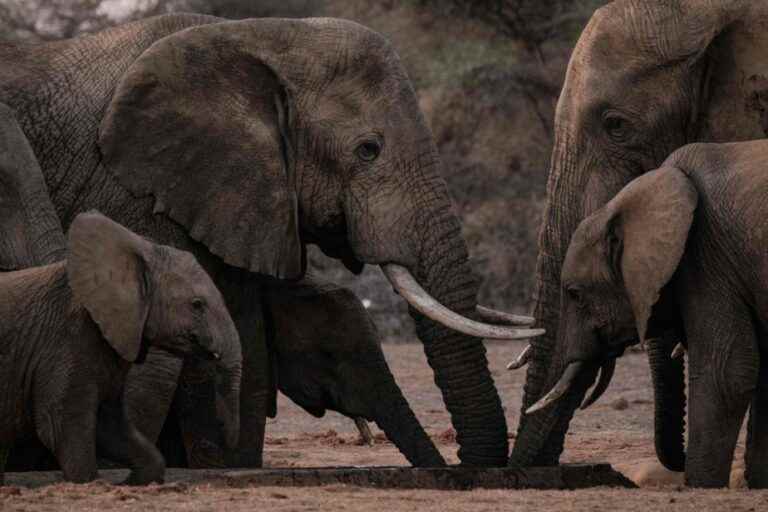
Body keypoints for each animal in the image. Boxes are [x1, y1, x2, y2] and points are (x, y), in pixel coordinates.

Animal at [0, 211, 240, 484]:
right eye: (197, 304)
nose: (228, 438)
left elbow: (109, 426)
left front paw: (134, 482)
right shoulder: (66, 338)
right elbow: (60, 424)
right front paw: (94, 481)